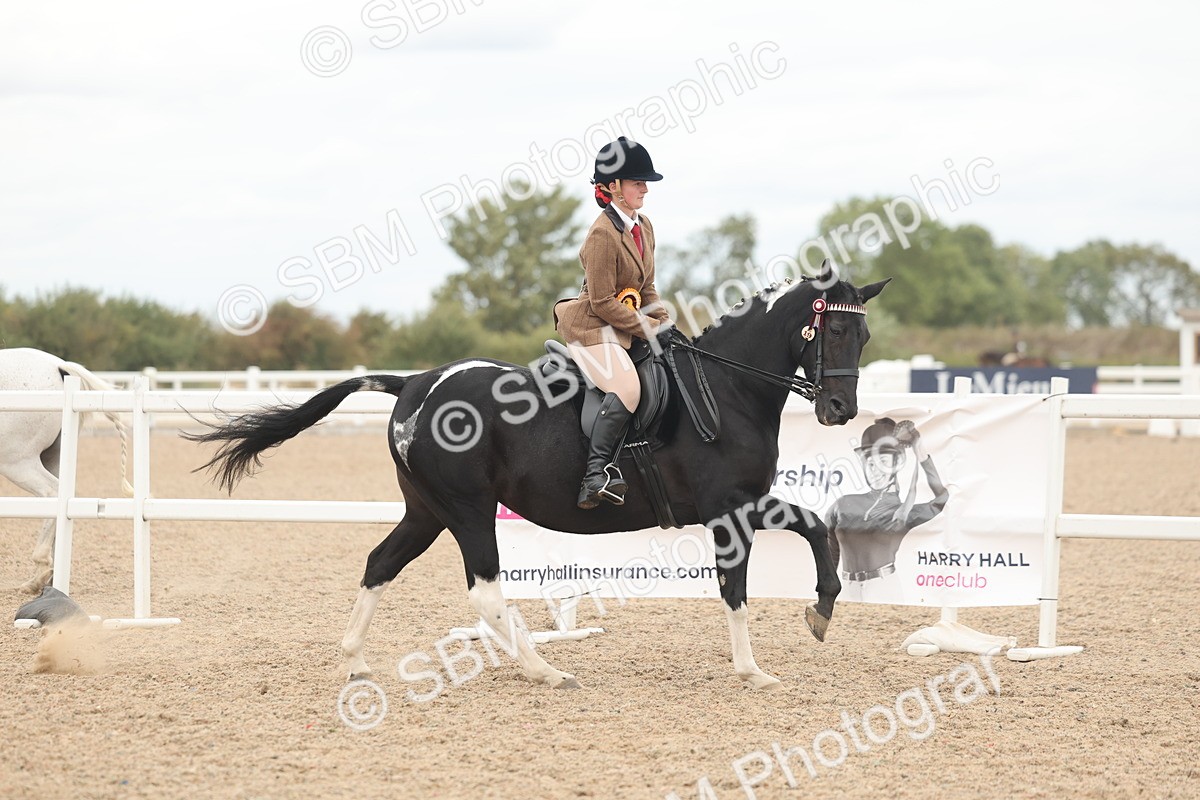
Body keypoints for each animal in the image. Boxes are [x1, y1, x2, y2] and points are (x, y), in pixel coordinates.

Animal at [189, 267, 889, 690]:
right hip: (468, 511)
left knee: (379, 563)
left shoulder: (748, 503)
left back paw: (357, 661)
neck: (728, 386)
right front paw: (758, 665)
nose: (840, 409)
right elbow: (741, 584)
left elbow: (813, 529)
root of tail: (415, 382)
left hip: (426, 512)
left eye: (864, 332)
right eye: (831, 327)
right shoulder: (727, 509)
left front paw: (819, 611)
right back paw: (544, 670)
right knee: (485, 594)